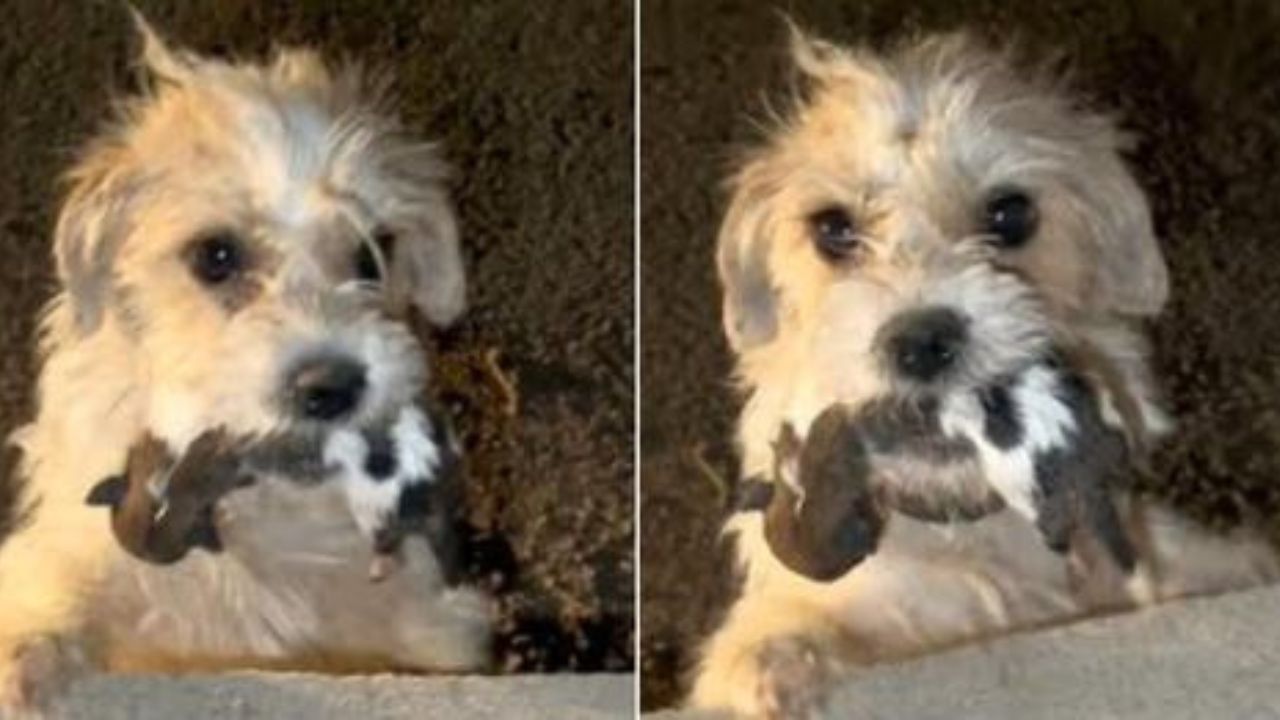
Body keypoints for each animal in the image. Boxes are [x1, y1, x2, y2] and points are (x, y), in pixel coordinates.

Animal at [0, 16, 488, 712]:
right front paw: (25, 661)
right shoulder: (66, 554)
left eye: (372, 254)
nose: (332, 387)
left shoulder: (433, 623)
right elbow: (55, 593)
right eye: (216, 255)